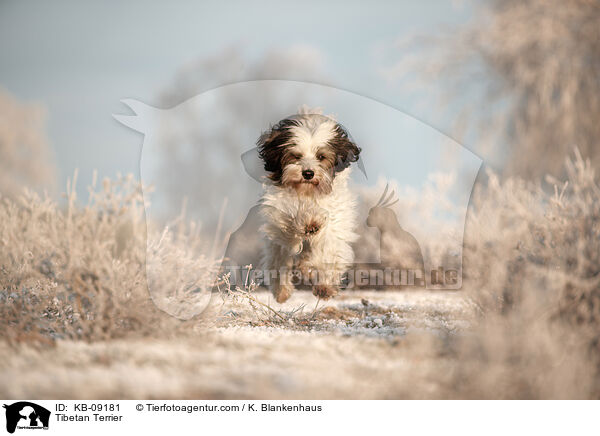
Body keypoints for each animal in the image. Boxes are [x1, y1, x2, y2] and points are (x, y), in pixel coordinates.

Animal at [258, 112, 360, 304]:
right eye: (296, 156)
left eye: (321, 156)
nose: (308, 173)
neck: (307, 194)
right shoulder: (280, 219)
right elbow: (290, 228)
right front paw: (308, 222)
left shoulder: (334, 225)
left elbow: (327, 252)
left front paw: (322, 283)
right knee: (279, 264)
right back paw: (282, 291)